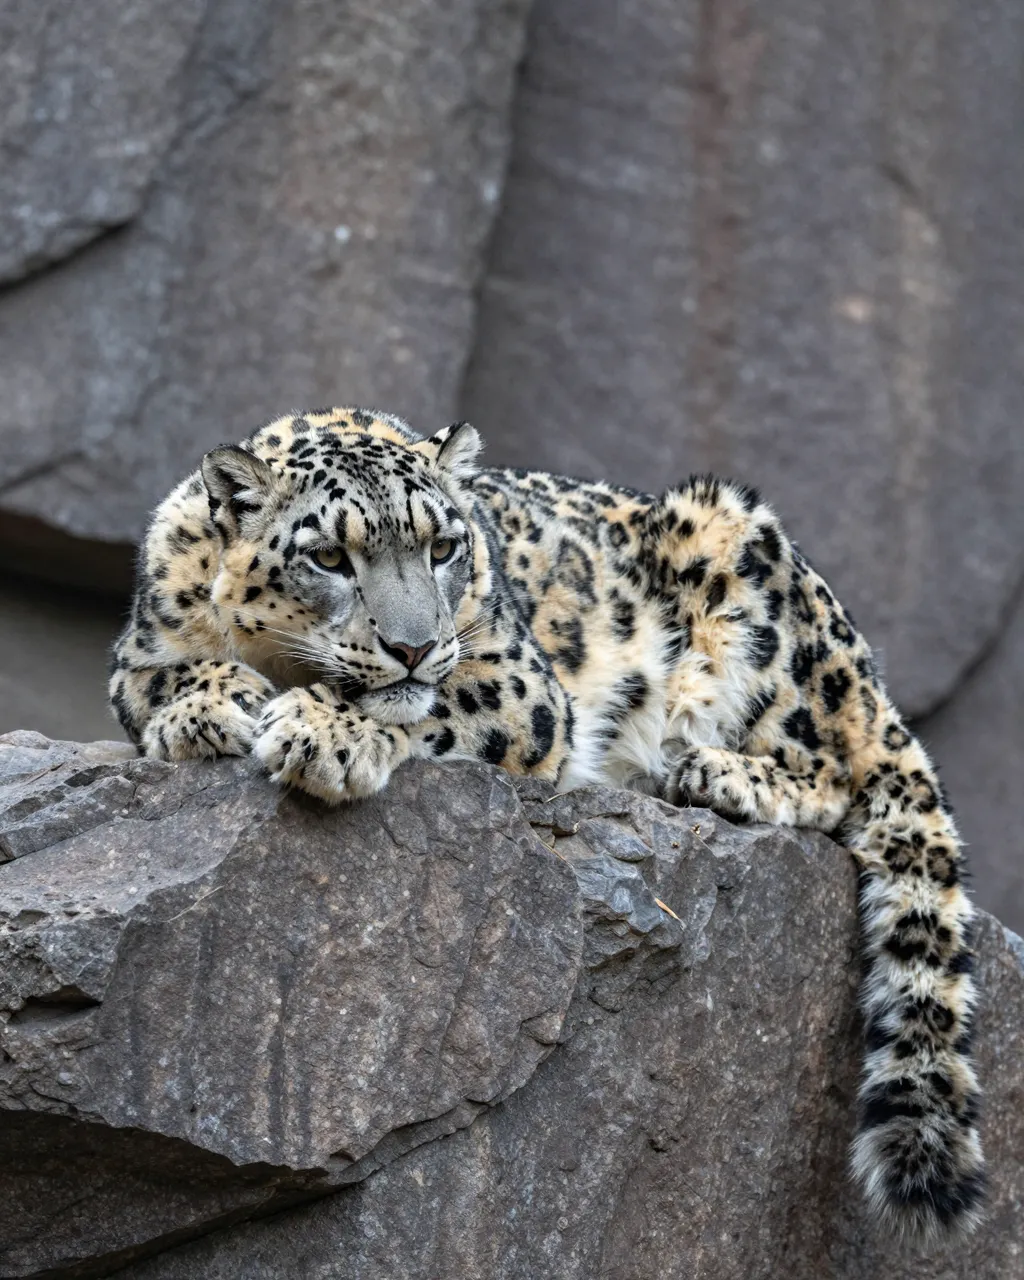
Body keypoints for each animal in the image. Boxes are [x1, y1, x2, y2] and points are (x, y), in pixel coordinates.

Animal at [110, 406, 983, 1240]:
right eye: (328, 557)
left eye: (443, 547)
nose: (414, 645)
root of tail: (864, 673)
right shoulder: (138, 653)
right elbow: (158, 678)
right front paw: (206, 708)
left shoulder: (518, 685)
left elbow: (421, 707)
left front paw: (324, 731)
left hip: (744, 575)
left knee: (839, 772)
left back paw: (709, 771)